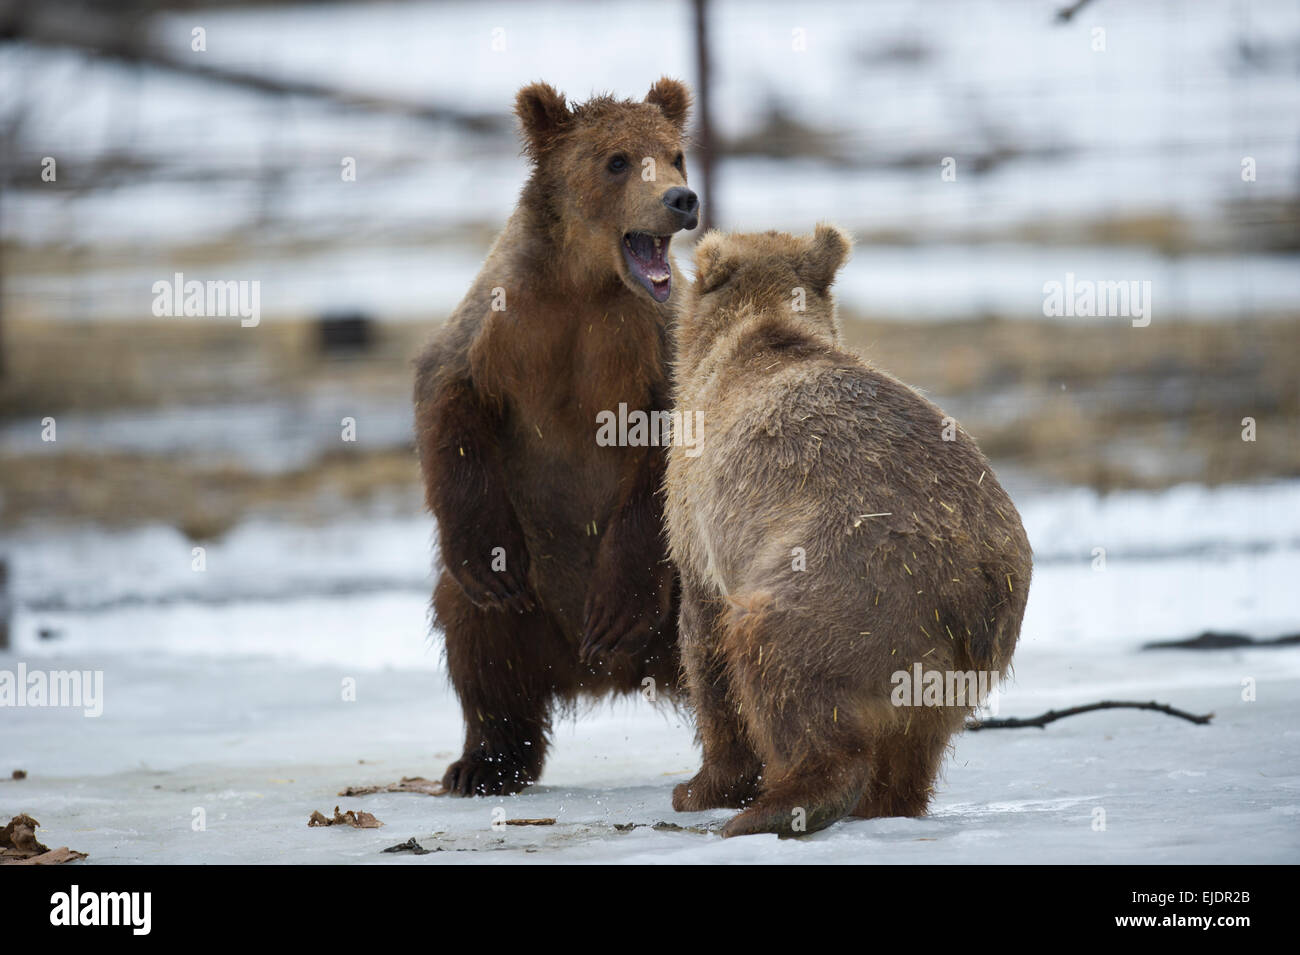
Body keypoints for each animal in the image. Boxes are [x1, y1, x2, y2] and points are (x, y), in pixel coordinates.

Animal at [416, 80, 702, 800]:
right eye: (617, 160)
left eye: (675, 154)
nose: (682, 200)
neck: (585, 283)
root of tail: (604, 677)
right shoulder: (500, 324)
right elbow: (449, 403)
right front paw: (493, 565)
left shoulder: (655, 342)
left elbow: (662, 466)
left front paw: (616, 609)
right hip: (529, 607)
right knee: (478, 640)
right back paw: (483, 762)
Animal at [665, 226, 1029, 836]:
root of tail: (975, 585)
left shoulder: (698, 515)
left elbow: (705, 643)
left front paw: (700, 787)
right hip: (949, 665)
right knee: (914, 748)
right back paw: (884, 805)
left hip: (848, 585)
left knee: (778, 663)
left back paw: (778, 805)